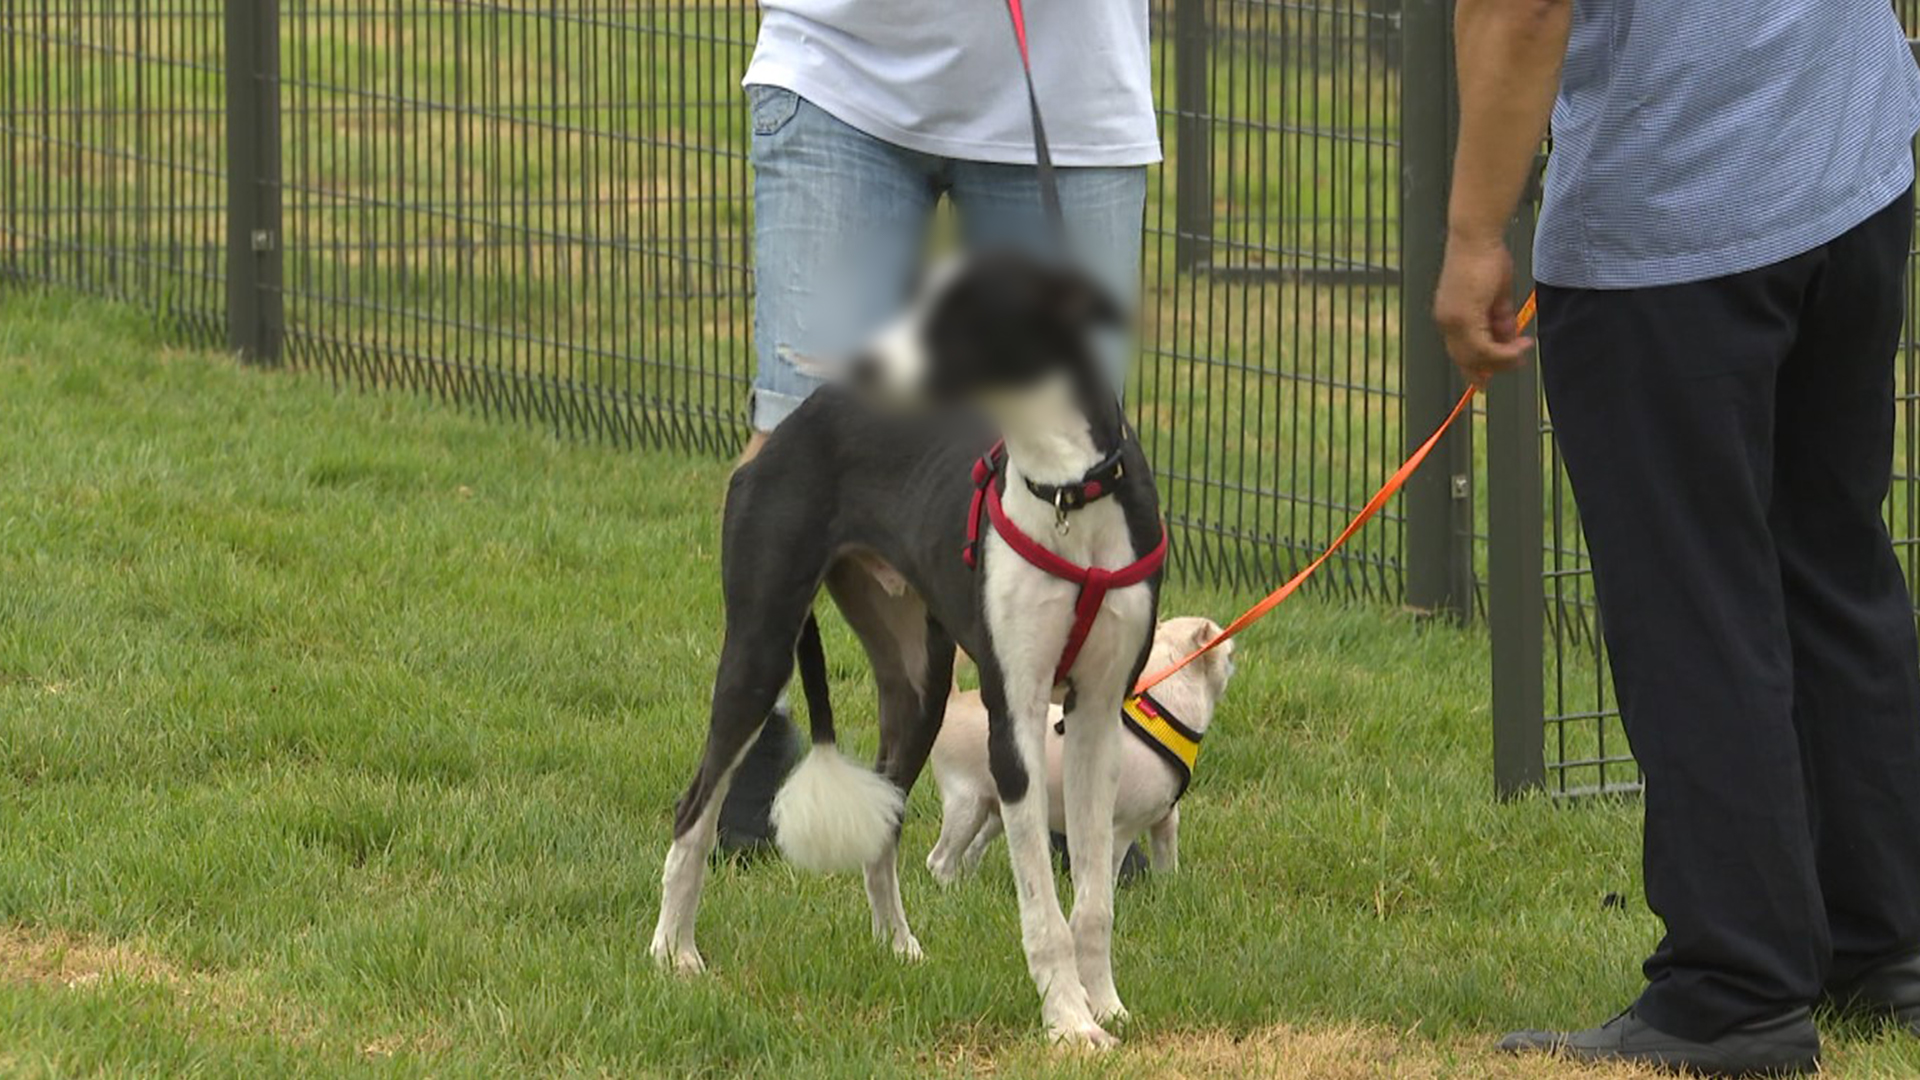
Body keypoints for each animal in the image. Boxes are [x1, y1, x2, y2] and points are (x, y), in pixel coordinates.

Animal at [652, 249, 1167, 1045]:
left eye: (962, 312)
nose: (867, 363)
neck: (1063, 494)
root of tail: (804, 416)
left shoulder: (1096, 718)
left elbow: (1092, 900)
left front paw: (1104, 1005)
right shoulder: (1013, 723)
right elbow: (1041, 908)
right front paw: (1069, 1024)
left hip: (918, 690)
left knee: (881, 834)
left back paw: (897, 947)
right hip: (757, 651)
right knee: (694, 809)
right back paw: (673, 951)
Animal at [925, 614, 1228, 883]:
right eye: (1228, 653)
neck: (1156, 710)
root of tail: (954, 701)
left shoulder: (1165, 821)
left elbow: (1166, 863)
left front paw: (1168, 891)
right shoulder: (1119, 832)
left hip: (999, 808)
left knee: (972, 850)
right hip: (967, 805)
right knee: (940, 859)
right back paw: (949, 890)